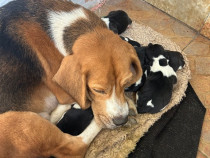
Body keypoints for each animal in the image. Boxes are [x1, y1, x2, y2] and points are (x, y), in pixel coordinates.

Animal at [0, 0, 142, 156]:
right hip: (20, 121)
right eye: (98, 90)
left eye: (126, 84)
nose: (121, 121)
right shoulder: (65, 94)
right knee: (76, 146)